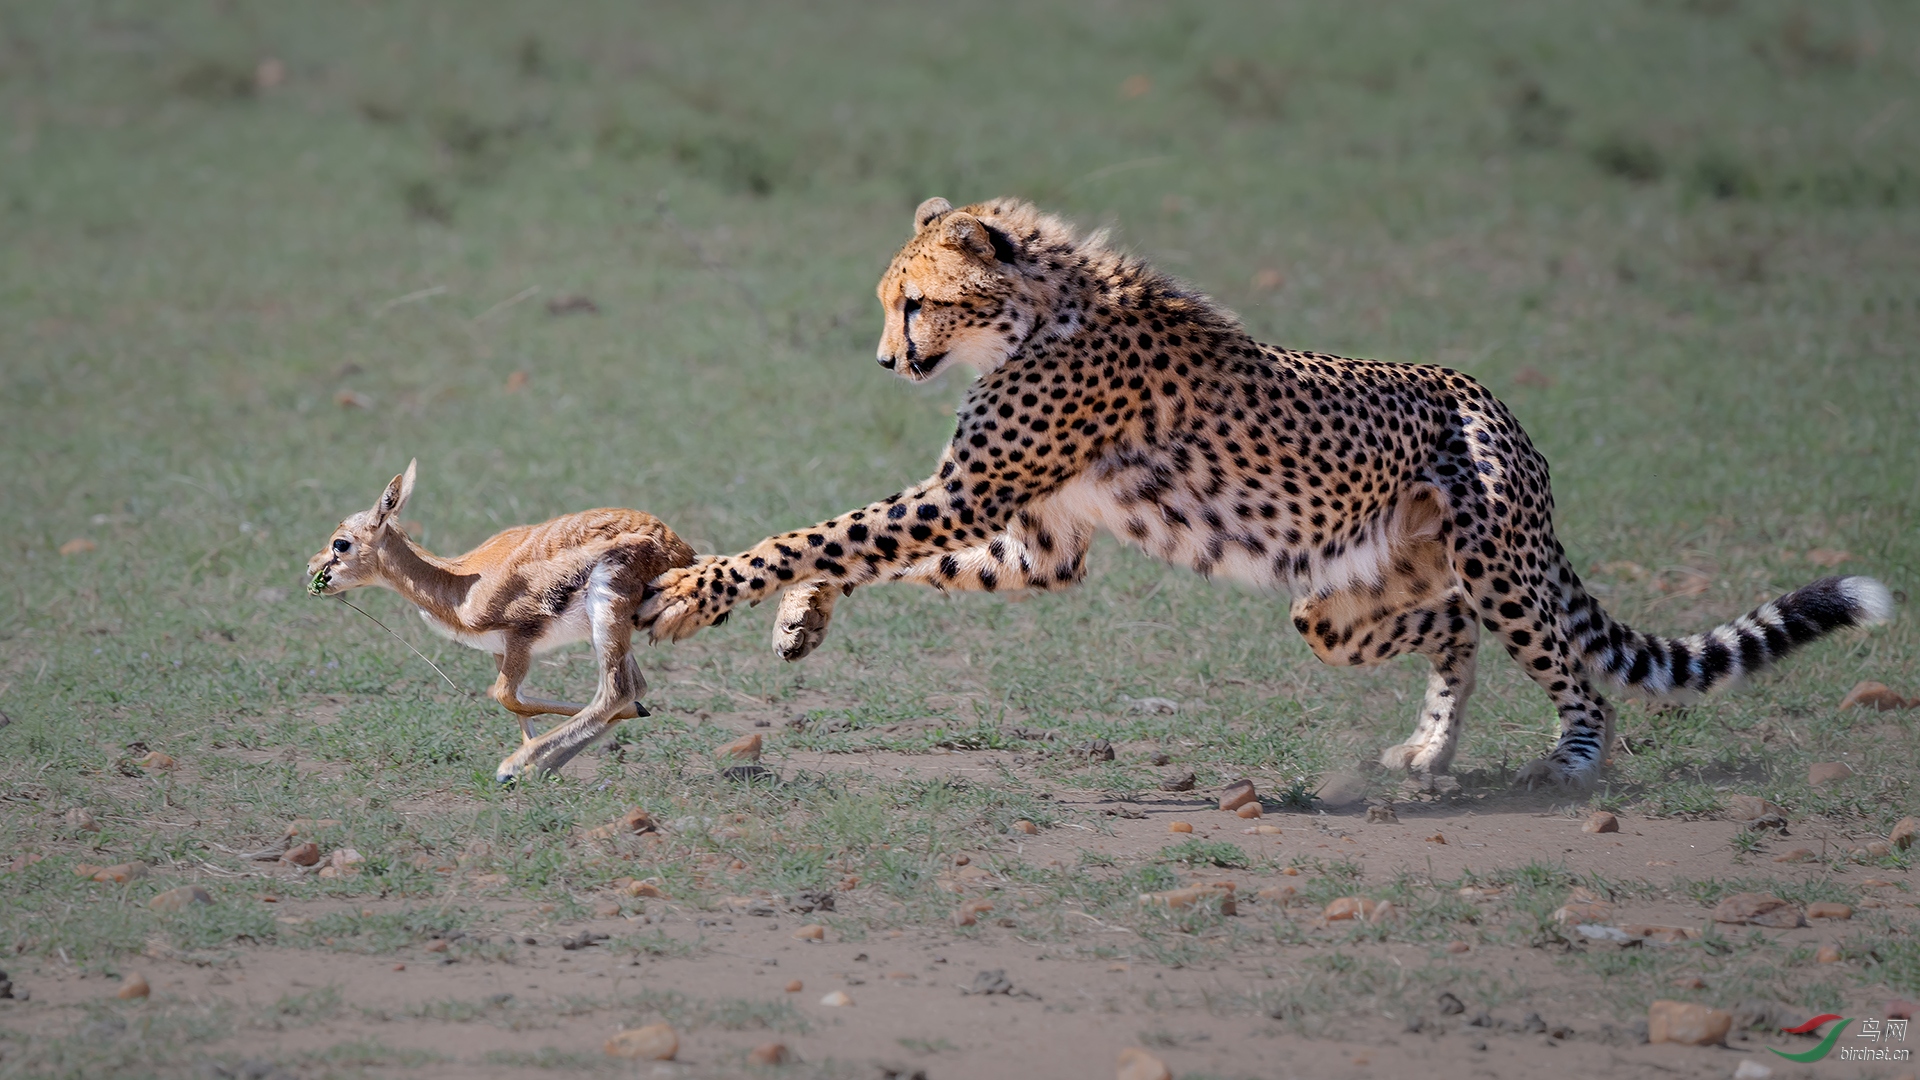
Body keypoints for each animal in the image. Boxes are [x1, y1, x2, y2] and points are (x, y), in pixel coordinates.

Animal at [639, 196, 1894, 789]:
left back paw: (1574, 760)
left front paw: (700, 593)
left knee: (1568, 668)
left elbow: (827, 530)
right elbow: (871, 550)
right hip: (1338, 606)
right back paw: (1430, 753)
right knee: (1451, 628)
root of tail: (1496, 404)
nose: (888, 362)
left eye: (917, 304)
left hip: (1496, 565)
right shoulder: (1033, 541)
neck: (1037, 310)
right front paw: (799, 619)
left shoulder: (972, 493)